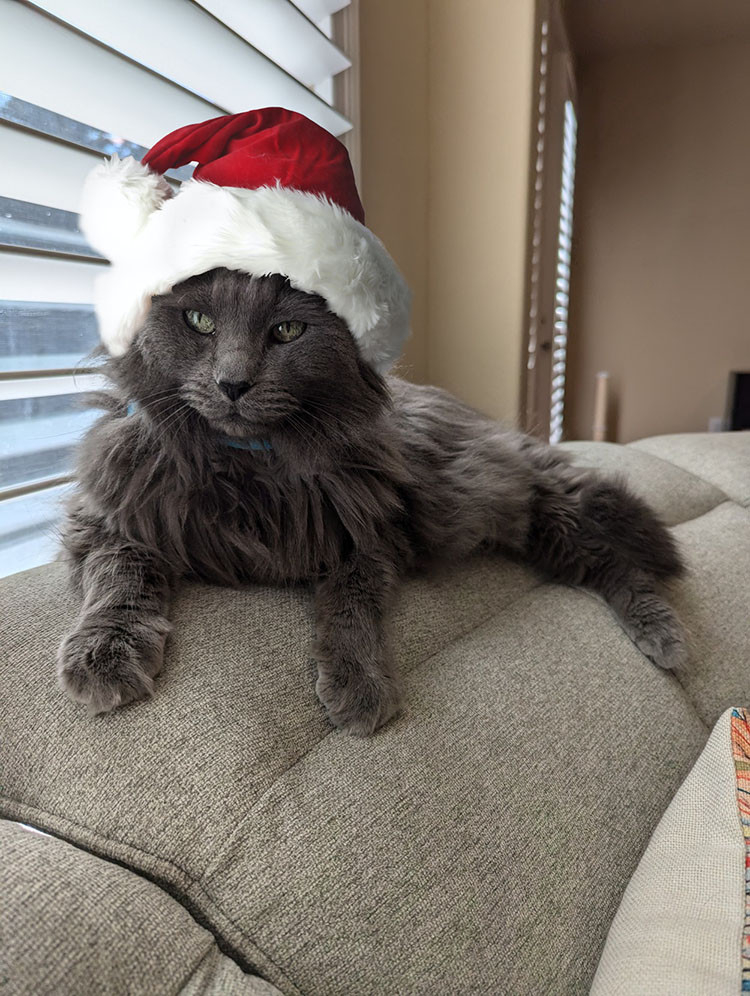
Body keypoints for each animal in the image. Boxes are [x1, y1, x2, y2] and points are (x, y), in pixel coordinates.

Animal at [57, 268, 688, 736]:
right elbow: (120, 580)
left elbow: (349, 610)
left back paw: (668, 640)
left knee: (622, 569)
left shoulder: (366, 538)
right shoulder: (114, 521)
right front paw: (104, 652)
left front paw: (359, 686)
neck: (248, 467)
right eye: (200, 321)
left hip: (545, 515)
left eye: (288, 330)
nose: (232, 384)